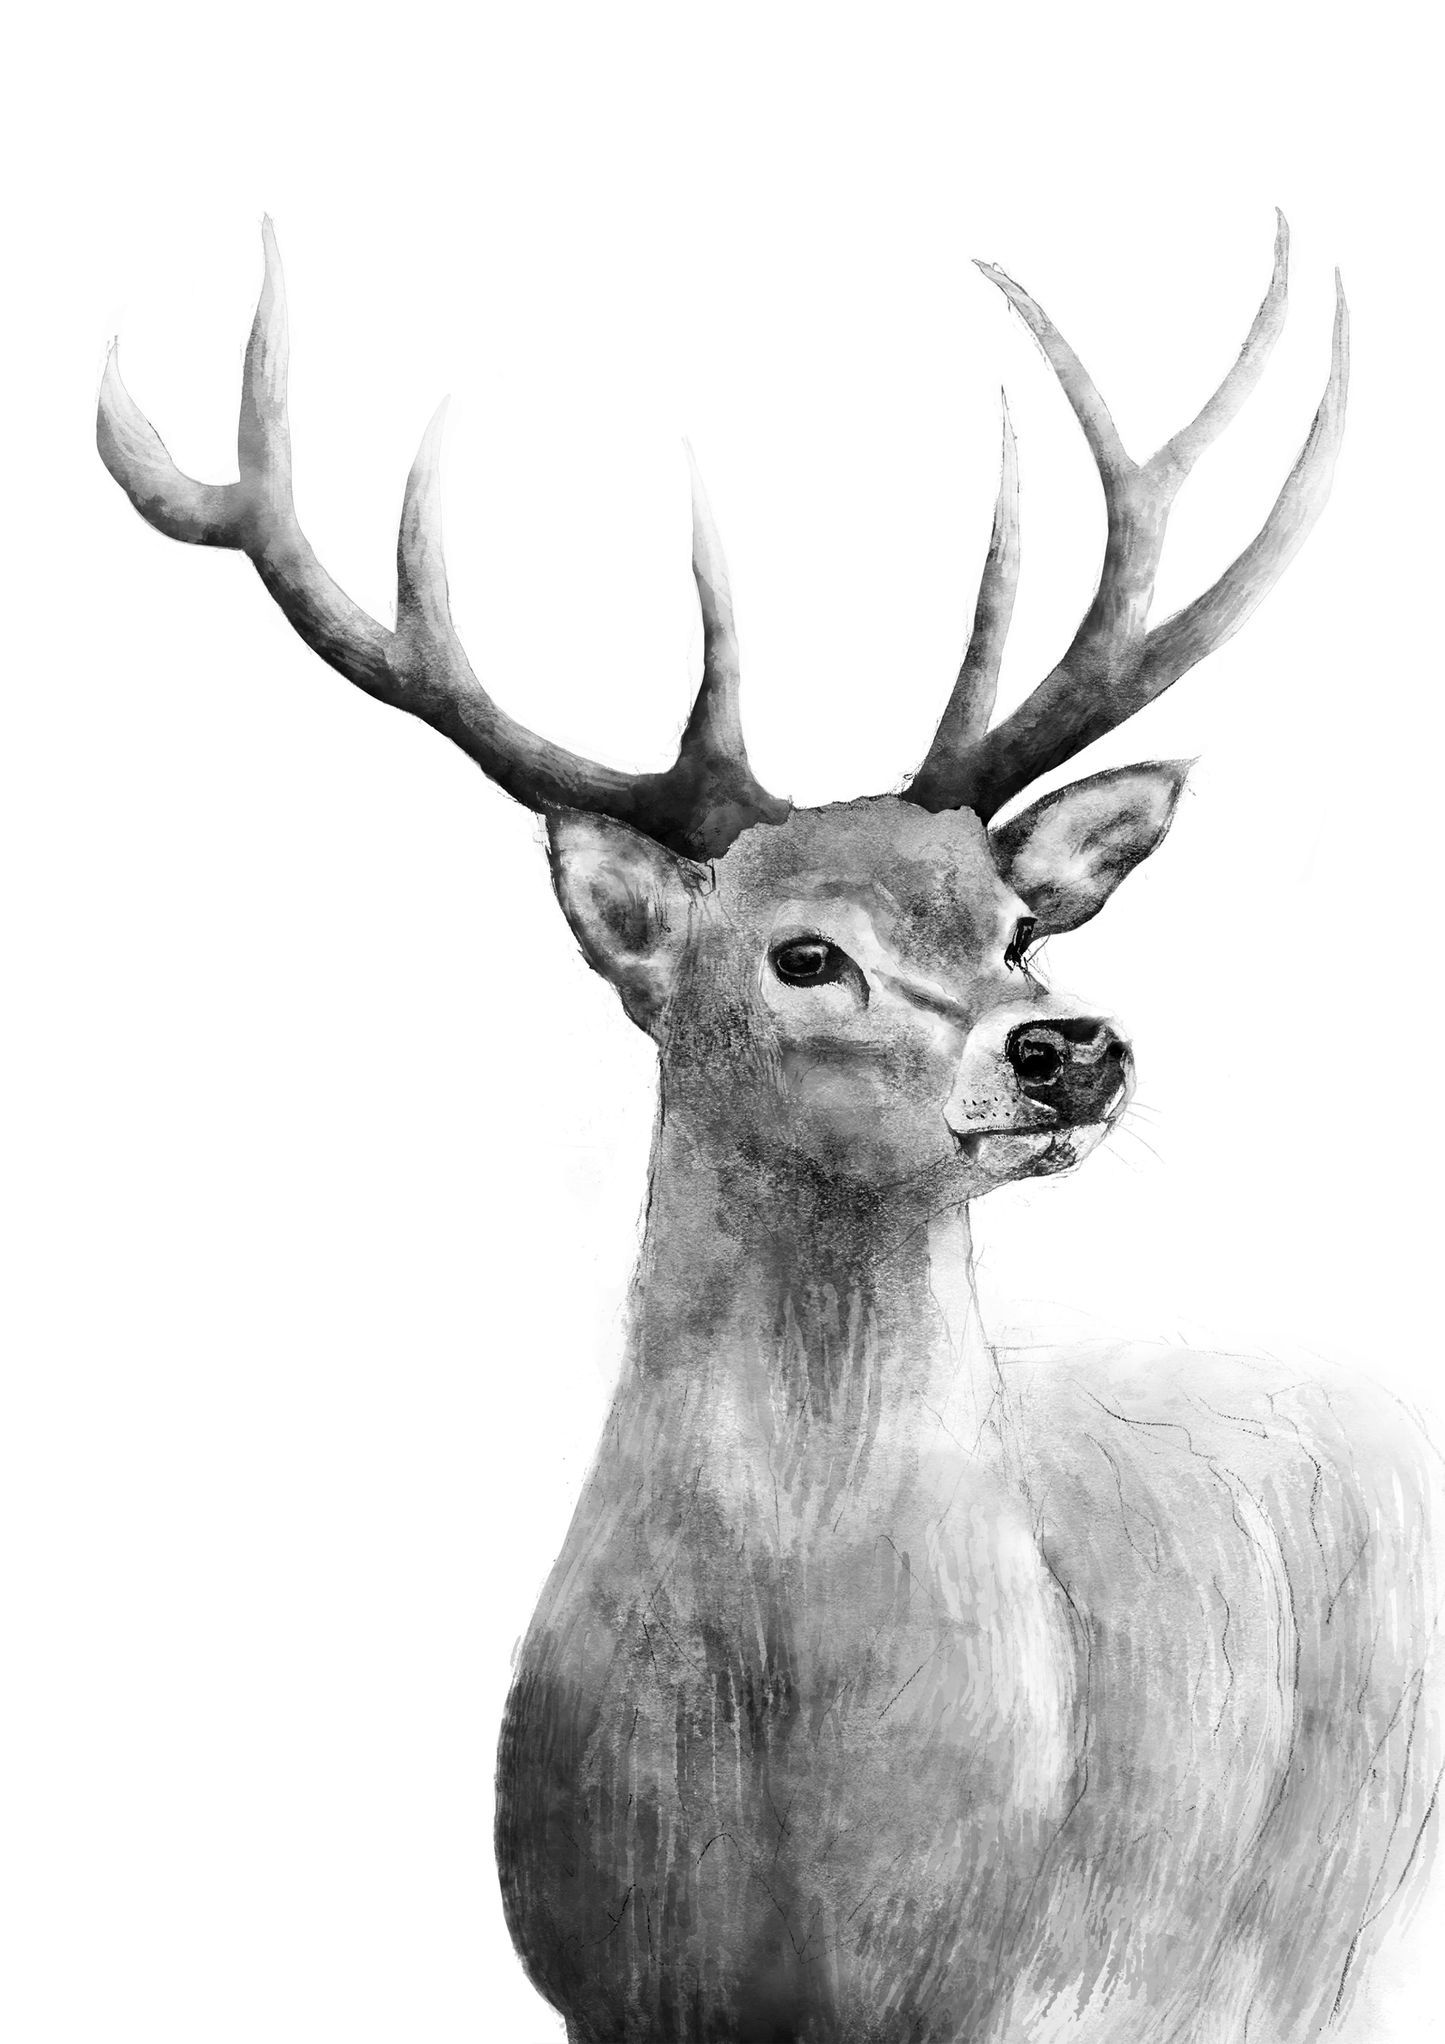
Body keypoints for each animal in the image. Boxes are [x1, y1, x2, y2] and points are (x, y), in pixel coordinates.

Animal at [98, 217, 1441, 2044]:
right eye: (805, 952)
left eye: (1021, 922)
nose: (1070, 1046)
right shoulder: (598, 1980)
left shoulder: (998, 1983)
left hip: (1324, 1903)